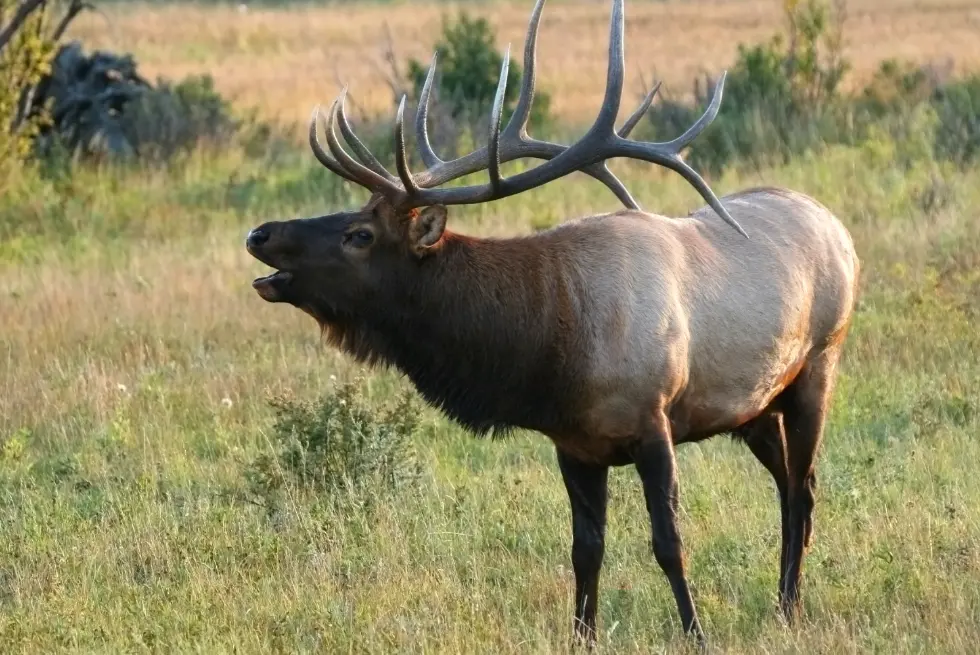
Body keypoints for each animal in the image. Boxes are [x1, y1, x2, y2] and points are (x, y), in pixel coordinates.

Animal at [244, 0, 859, 647]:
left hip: (818, 366)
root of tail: (837, 227)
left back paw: (789, 607)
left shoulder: (653, 420)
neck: (552, 344)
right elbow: (585, 551)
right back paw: (784, 601)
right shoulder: (574, 444)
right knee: (787, 484)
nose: (260, 233)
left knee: (803, 487)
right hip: (754, 407)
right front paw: (581, 637)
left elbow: (669, 543)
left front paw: (696, 634)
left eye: (359, 234)